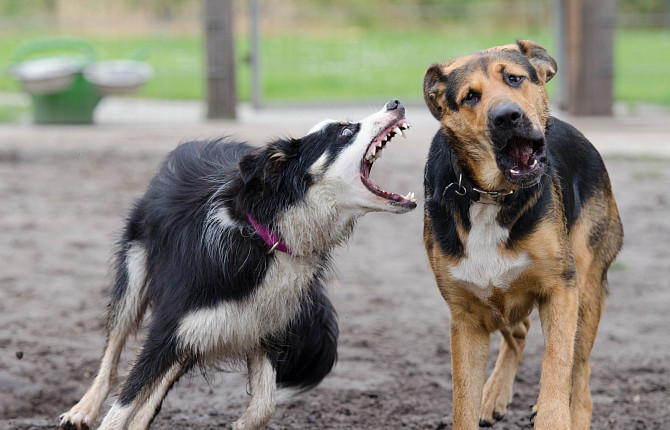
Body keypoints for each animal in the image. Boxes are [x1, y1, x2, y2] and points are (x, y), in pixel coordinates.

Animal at [59, 99, 414, 428]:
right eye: (346, 131)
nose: (395, 102)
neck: (268, 234)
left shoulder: (260, 325)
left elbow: (263, 405)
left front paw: (241, 423)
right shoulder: (171, 325)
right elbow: (124, 401)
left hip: (205, 330)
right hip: (136, 273)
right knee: (114, 351)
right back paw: (82, 410)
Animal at [426, 39, 624, 426]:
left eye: (514, 78)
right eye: (470, 96)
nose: (506, 117)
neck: (490, 194)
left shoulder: (561, 289)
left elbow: (556, 364)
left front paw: (553, 417)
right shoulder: (466, 317)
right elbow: (463, 401)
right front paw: (480, 400)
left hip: (586, 288)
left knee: (581, 376)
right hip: (498, 300)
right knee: (519, 333)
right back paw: (493, 396)